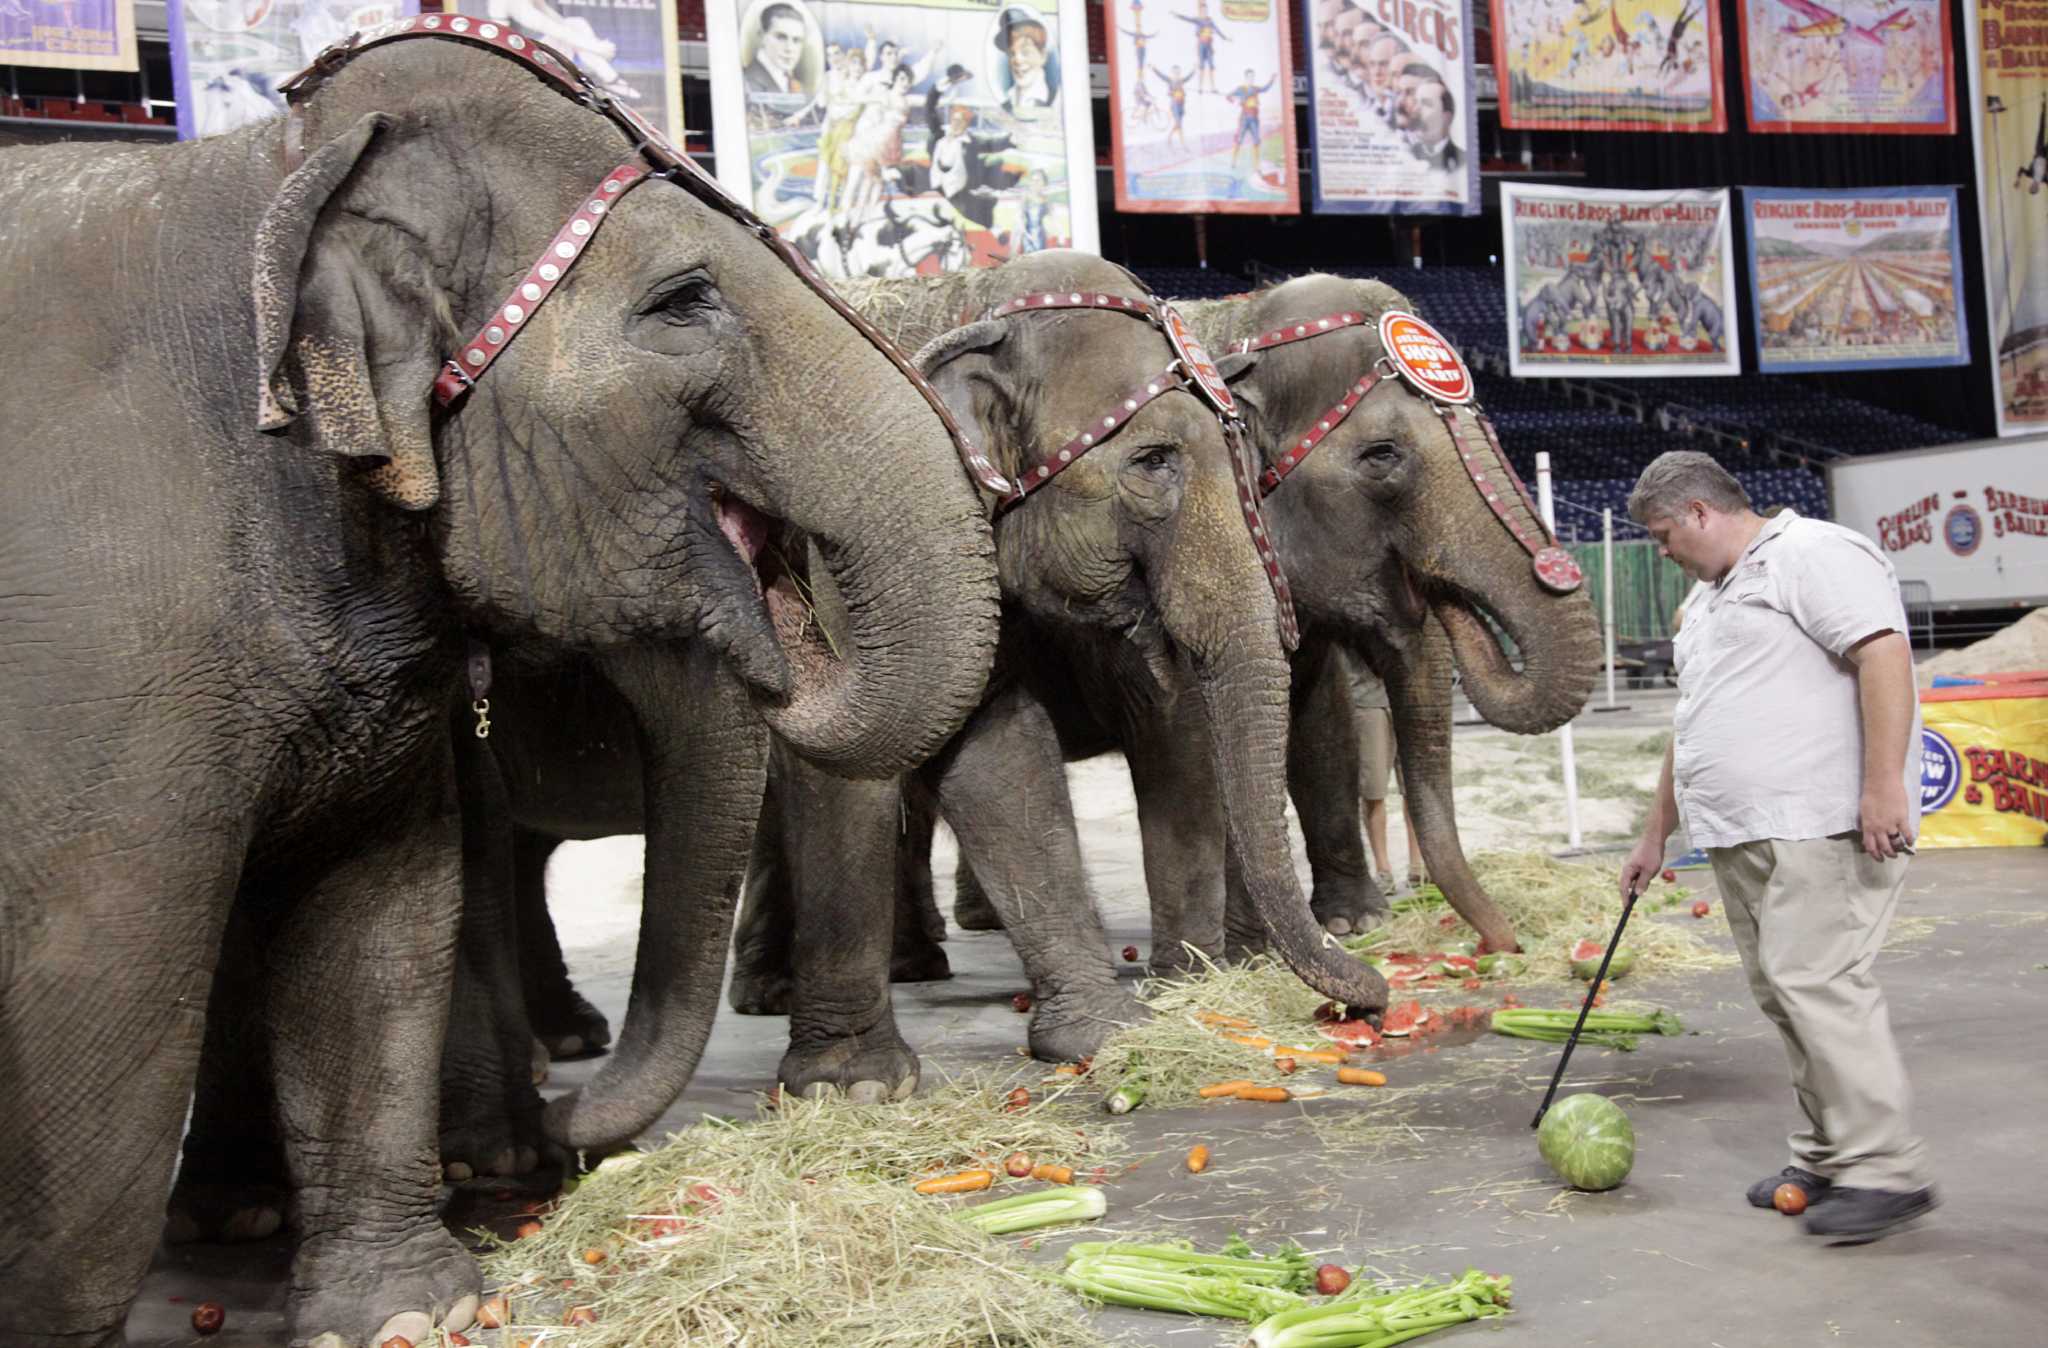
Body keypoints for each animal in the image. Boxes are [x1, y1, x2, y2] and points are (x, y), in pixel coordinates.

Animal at [0, 31, 995, 1343]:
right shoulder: (105, 663)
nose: (572, 1142)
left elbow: (384, 910)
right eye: (684, 300)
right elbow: (110, 960)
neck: (264, 173)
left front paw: (405, 1310)